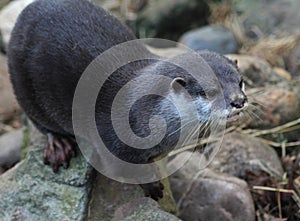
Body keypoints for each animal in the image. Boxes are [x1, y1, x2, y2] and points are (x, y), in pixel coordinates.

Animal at [8, 0, 247, 200]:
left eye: (240, 81)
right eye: (211, 91)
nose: (239, 100)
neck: (147, 113)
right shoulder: (111, 146)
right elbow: (126, 170)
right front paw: (152, 186)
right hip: (23, 85)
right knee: (39, 121)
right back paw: (58, 144)